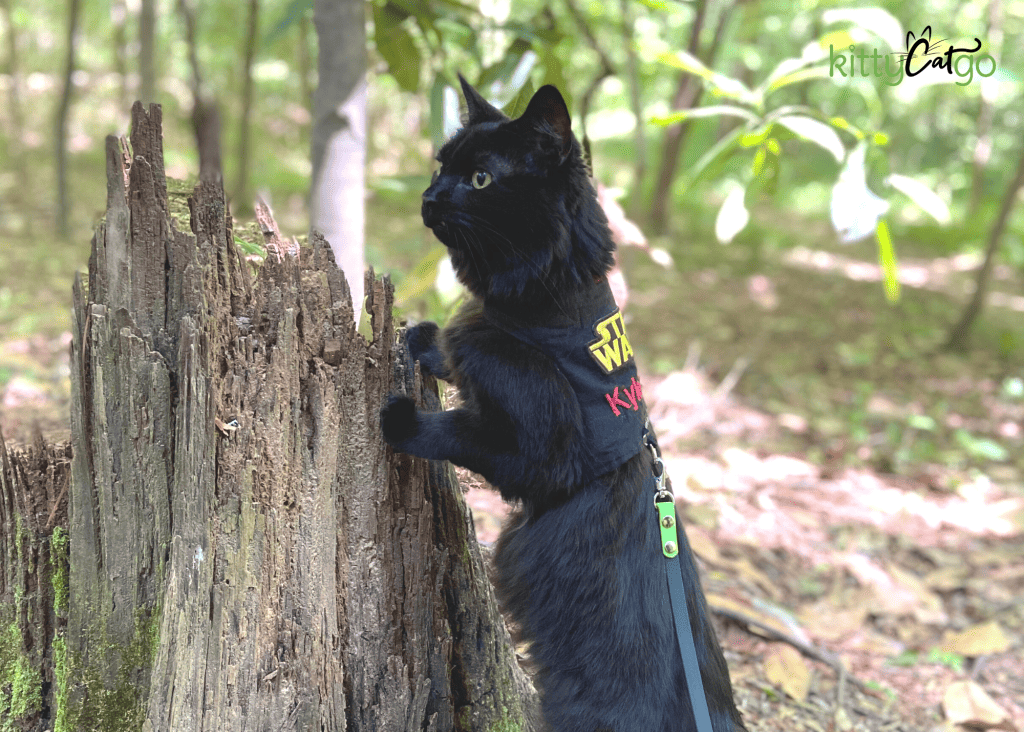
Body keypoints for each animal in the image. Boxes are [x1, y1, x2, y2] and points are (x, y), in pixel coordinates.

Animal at [380, 78, 741, 732]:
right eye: (442, 166)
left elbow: (460, 432)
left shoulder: (545, 458)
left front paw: (404, 419)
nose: (428, 196)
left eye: (481, 180)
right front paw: (426, 342)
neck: (547, 306)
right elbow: (455, 358)